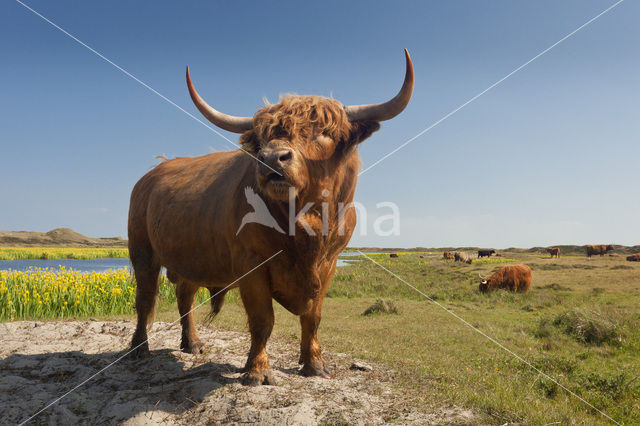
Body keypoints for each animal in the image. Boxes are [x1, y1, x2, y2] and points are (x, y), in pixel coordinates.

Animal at [129, 50, 416, 386]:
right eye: (263, 138)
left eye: (323, 131)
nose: (271, 159)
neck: (306, 228)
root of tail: (153, 172)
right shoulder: (251, 265)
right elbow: (262, 319)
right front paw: (257, 370)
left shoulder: (329, 265)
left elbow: (312, 317)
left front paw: (314, 364)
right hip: (142, 252)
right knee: (145, 299)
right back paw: (139, 349)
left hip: (190, 259)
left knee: (184, 297)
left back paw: (193, 344)